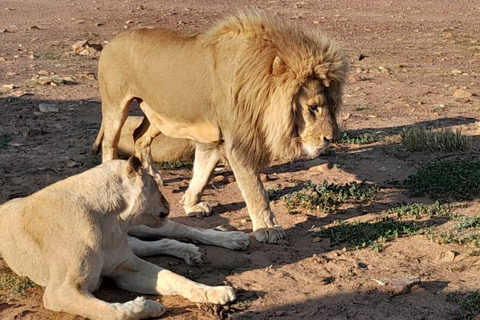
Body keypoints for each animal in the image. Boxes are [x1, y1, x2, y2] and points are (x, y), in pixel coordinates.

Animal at [0, 157, 248, 320]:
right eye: (156, 185)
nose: (169, 202)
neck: (109, 220)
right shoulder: (60, 292)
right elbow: (109, 312)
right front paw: (147, 307)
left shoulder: (126, 265)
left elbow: (175, 278)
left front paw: (214, 291)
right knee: (160, 242)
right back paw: (190, 252)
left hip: (143, 228)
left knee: (177, 229)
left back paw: (234, 239)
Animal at [93, 11, 348, 242]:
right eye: (313, 107)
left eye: (333, 105)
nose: (331, 138)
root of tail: (113, 40)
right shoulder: (238, 143)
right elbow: (255, 190)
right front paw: (267, 228)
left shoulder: (213, 138)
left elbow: (202, 173)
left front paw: (191, 204)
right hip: (116, 106)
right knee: (110, 144)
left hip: (159, 115)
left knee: (139, 136)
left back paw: (153, 175)